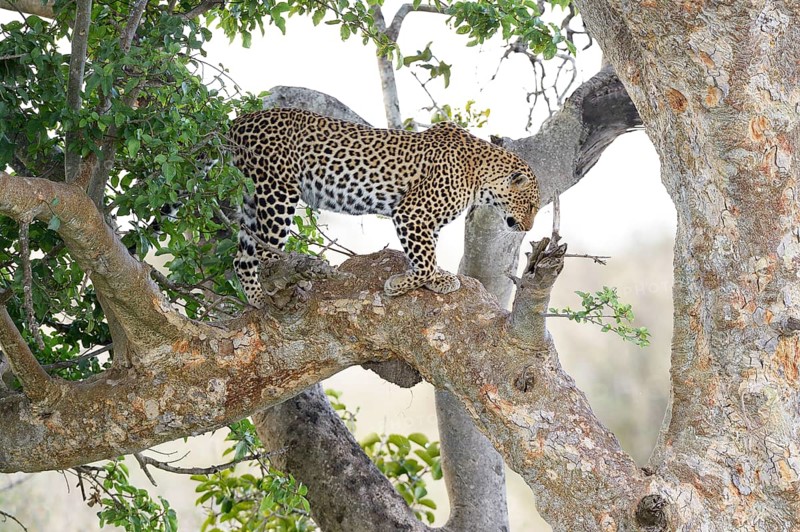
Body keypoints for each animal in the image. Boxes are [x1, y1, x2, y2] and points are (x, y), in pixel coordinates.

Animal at [229, 107, 540, 306]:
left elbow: (427, 256)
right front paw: (400, 285)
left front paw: (437, 280)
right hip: (278, 190)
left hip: (251, 197)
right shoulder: (412, 212)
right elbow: (425, 261)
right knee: (265, 252)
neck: (480, 176)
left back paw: (257, 298)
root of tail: (238, 123)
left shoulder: (427, 222)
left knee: (242, 257)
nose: (528, 227)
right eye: (531, 205)